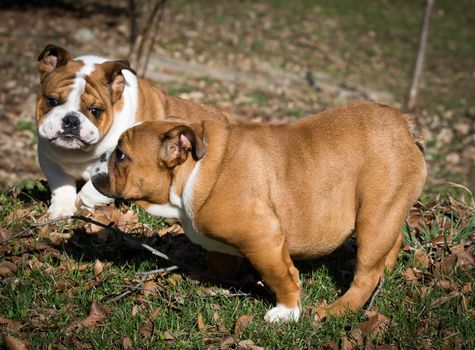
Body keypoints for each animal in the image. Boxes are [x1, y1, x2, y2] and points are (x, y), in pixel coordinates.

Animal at [35, 44, 232, 219]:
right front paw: (61, 210)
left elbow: (94, 188)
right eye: (52, 101)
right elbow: (62, 187)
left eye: (95, 110)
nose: (71, 120)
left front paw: (83, 203)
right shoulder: (50, 160)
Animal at [90, 100, 428, 322]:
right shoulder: (221, 246)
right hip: (386, 213)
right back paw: (386, 271)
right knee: (393, 243)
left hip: (374, 216)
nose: (96, 164)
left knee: (365, 275)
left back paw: (334, 310)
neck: (194, 169)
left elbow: (280, 276)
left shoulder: (262, 238)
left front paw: (287, 312)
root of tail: (403, 126)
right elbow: (221, 263)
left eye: (121, 155)